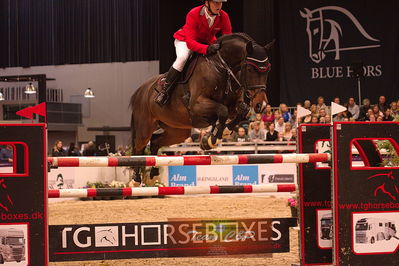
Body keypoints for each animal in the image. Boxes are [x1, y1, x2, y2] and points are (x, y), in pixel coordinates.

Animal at [130, 32, 274, 183]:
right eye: (251, 69)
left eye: (268, 70)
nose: (261, 105)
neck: (222, 69)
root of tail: (141, 90)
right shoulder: (197, 105)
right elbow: (222, 110)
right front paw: (210, 140)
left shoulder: (234, 104)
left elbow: (242, 110)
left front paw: (224, 131)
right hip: (145, 127)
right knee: (139, 147)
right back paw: (136, 176)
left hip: (177, 131)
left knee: (155, 142)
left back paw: (154, 171)